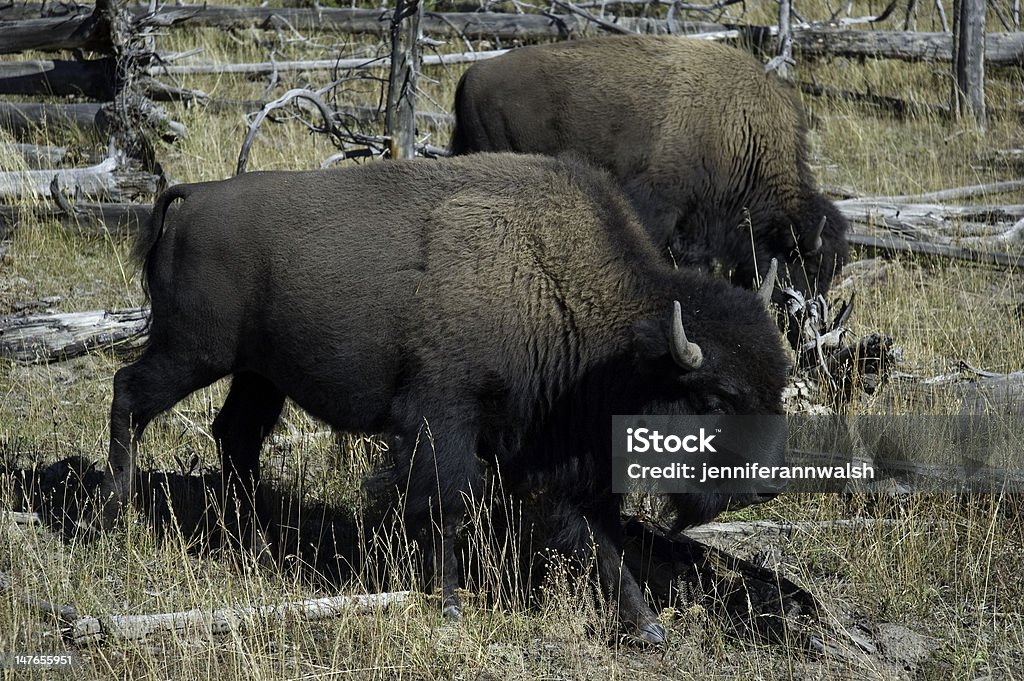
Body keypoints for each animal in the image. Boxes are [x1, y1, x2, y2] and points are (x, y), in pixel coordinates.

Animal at [103, 152, 786, 643]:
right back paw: (114, 520)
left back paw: (253, 533)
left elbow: (603, 543)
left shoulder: (558, 464)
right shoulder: (444, 418)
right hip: (191, 353)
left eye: (776, 383)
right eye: (716, 398)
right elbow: (446, 506)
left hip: (257, 373)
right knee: (129, 396)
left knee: (236, 434)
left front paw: (647, 629)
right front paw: (452, 605)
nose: (763, 487)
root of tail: (196, 195)